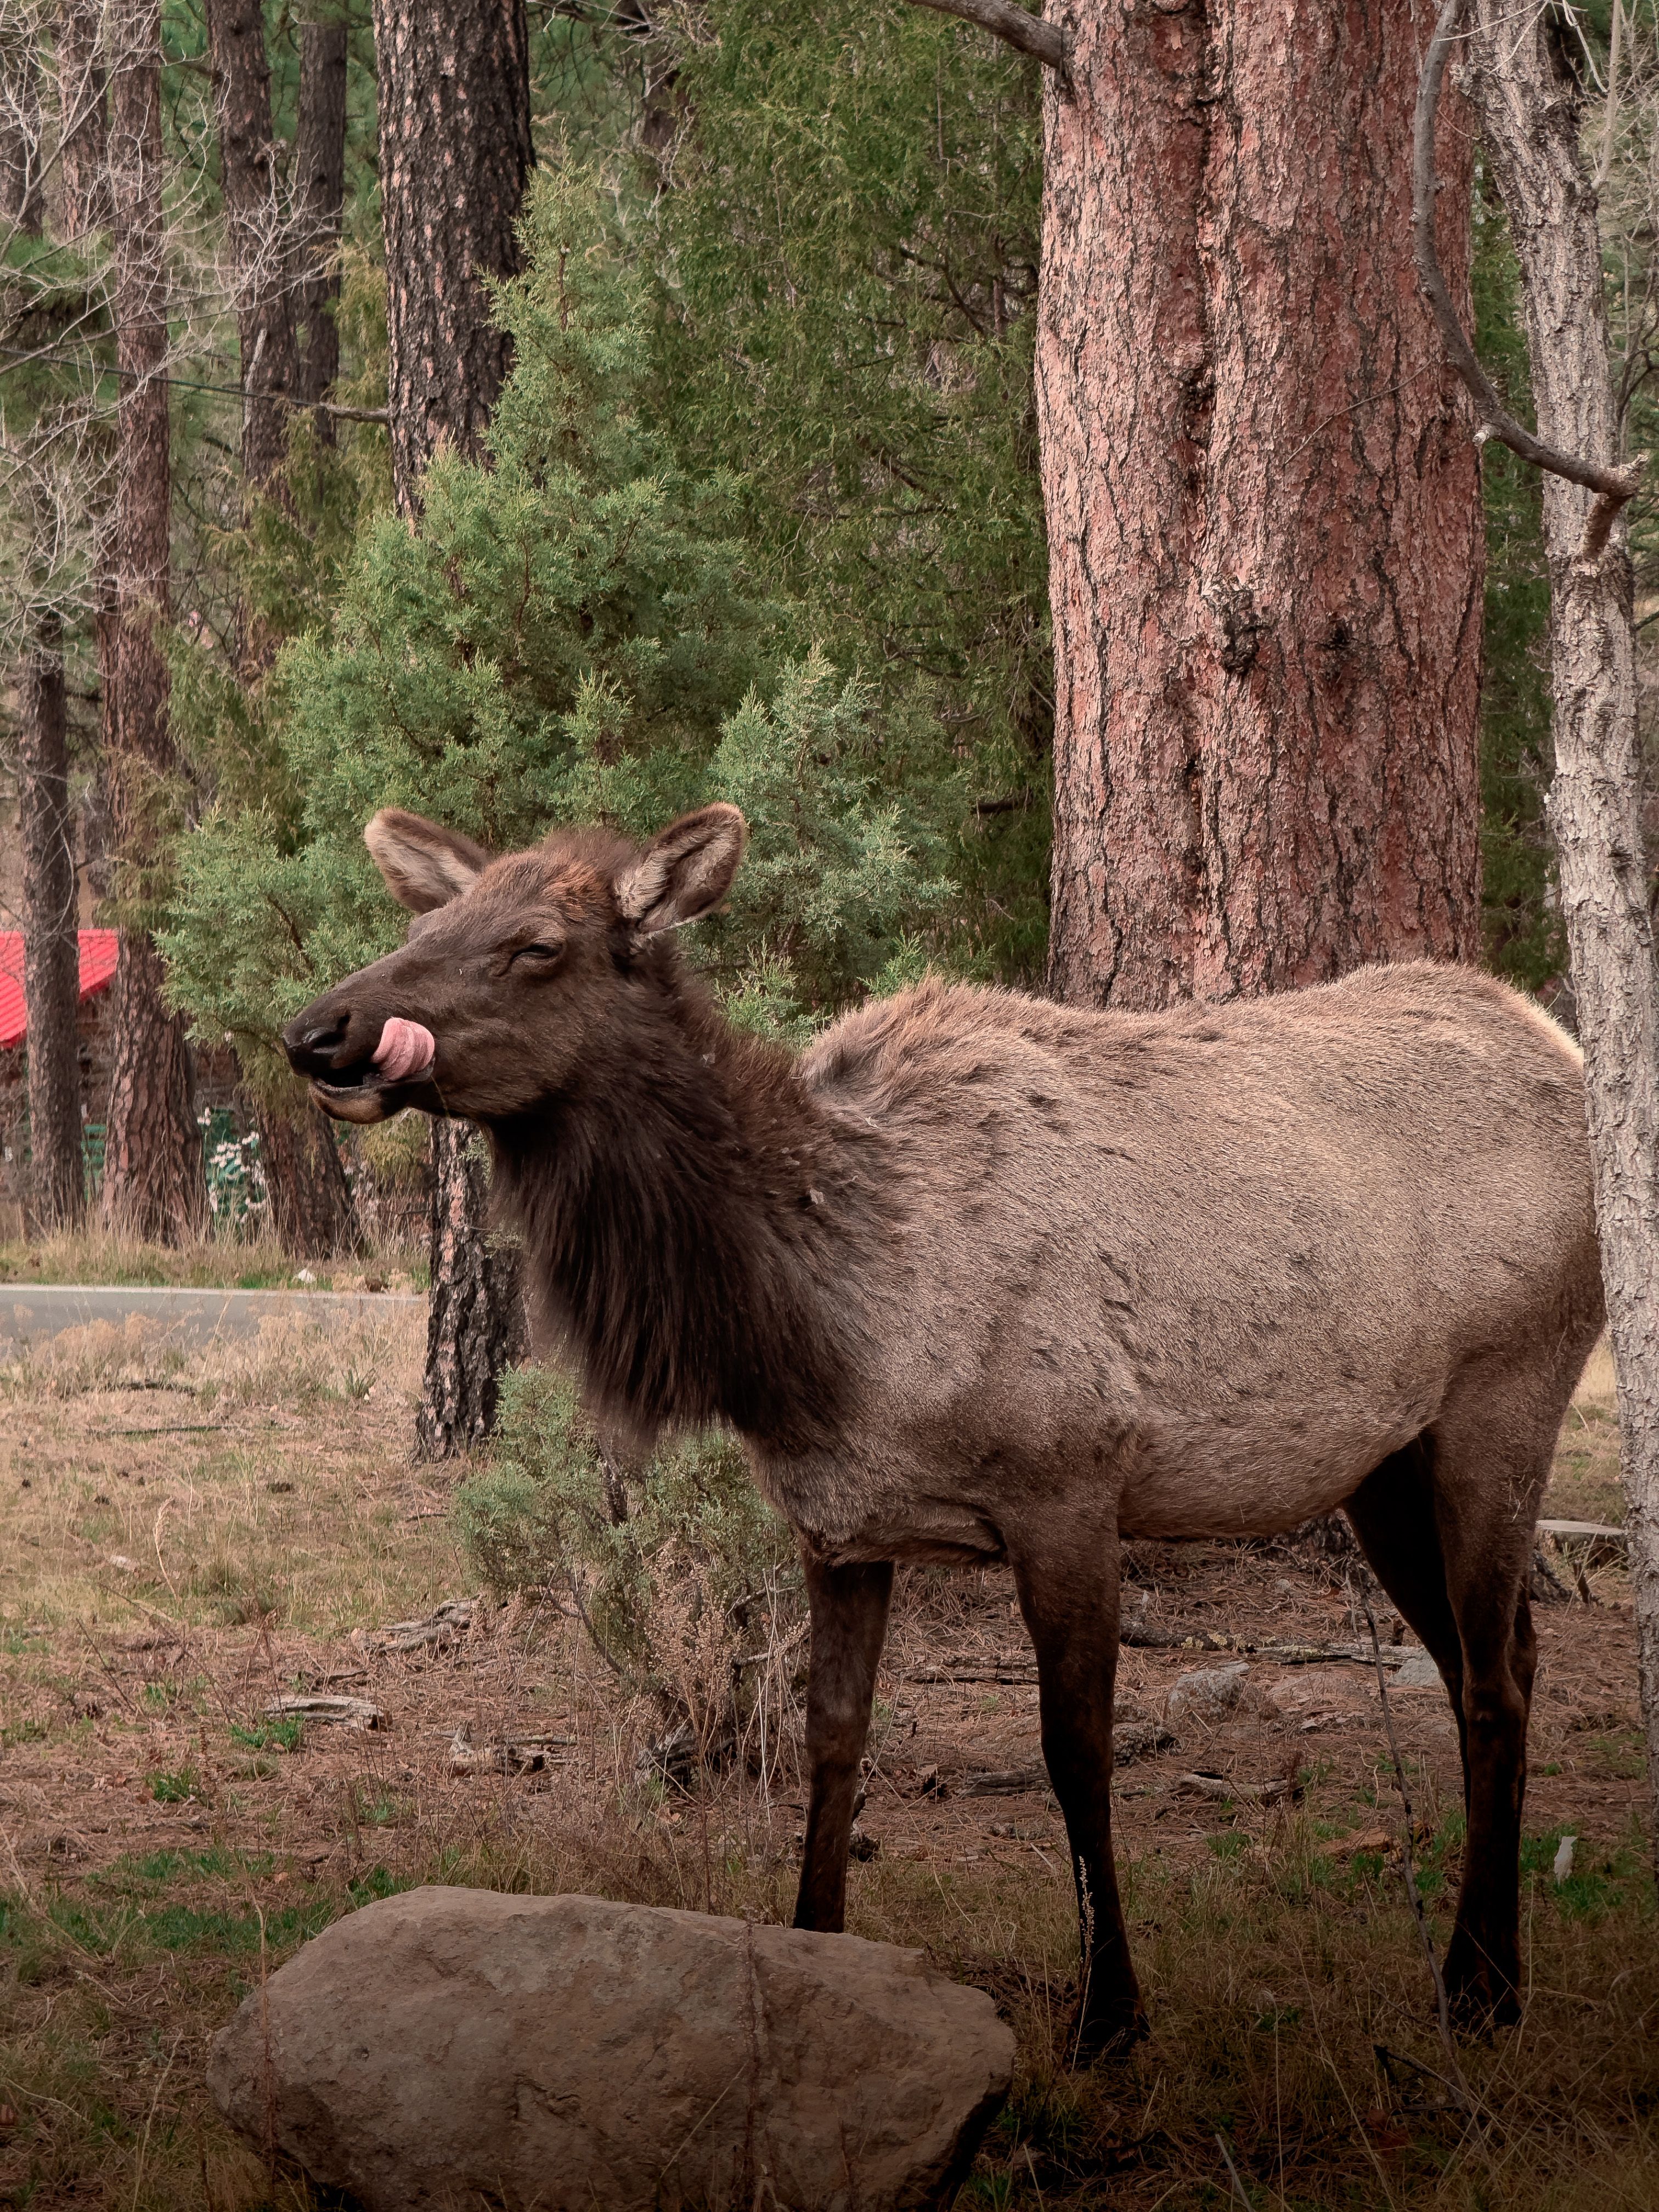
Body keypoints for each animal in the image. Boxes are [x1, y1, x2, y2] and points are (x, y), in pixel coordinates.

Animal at [283, 801, 1604, 2059]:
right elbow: (830, 1738)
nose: (319, 1031)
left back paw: (1482, 1985)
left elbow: (1075, 1750)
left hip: (1507, 1388)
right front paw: (815, 1946)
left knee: (1495, 1678)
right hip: (1382, 1459)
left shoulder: (1068, 1486)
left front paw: (1110, 2015)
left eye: (536, 946)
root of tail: (1560, 1045)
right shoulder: (836, 1524)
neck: (815, 1332)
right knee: (1500, 1657)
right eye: (421, 923)